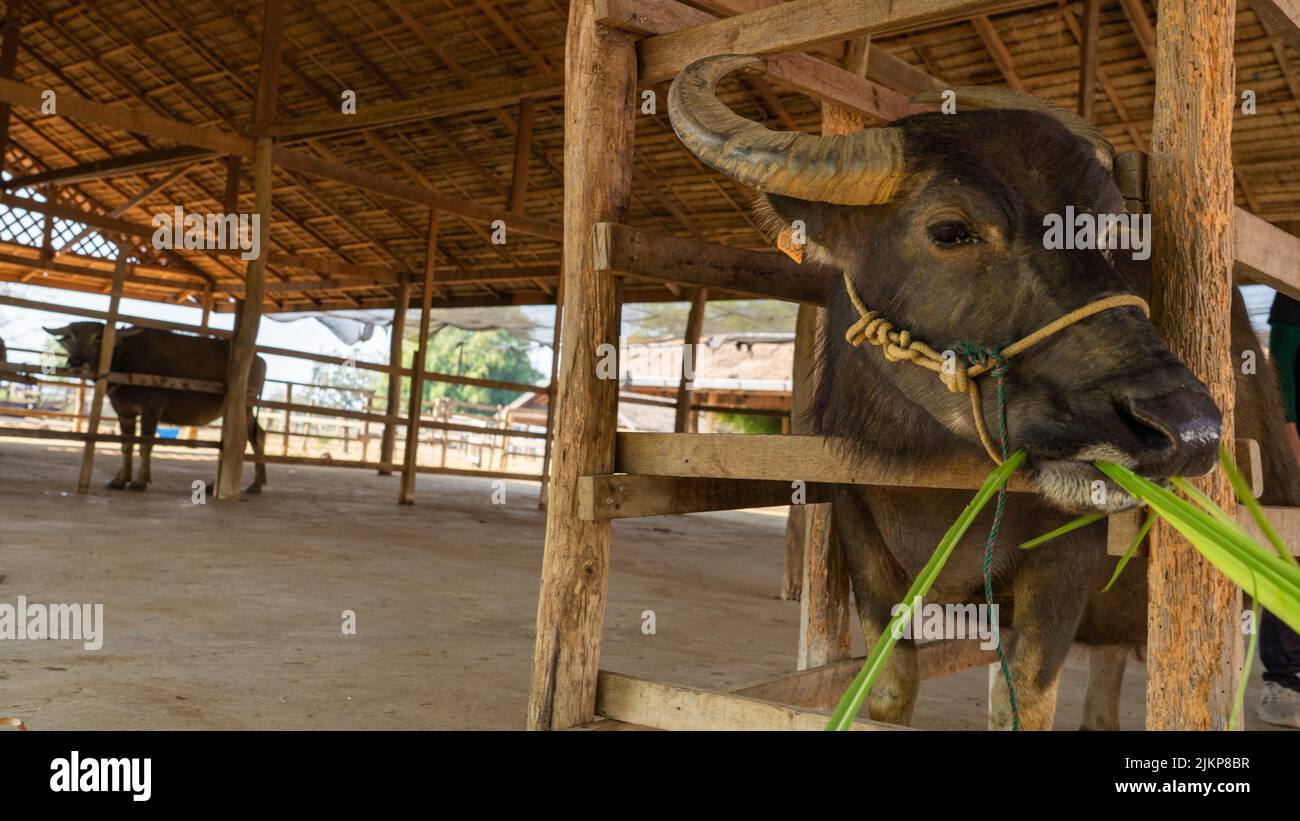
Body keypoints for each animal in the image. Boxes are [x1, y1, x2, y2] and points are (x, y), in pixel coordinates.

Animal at [47, 322, 267, 493]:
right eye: (70, 336)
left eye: (98, 337)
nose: (76, 360)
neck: (124, 360)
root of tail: (259, 359)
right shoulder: (124, 412)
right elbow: (126, 445)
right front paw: (120, 480)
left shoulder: (151, 407)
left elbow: (145, 444)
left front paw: (139, 481)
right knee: (257, 436)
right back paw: (255, 484)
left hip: (243, 406)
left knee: (241, 440)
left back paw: (219, 485)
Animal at [670, 54, 1300, 727]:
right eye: (950, 230)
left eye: (1109, 236)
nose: (1189, 429)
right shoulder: (858, 528)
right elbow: (892, 686)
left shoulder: (1066, 561)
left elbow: (1022, 700)